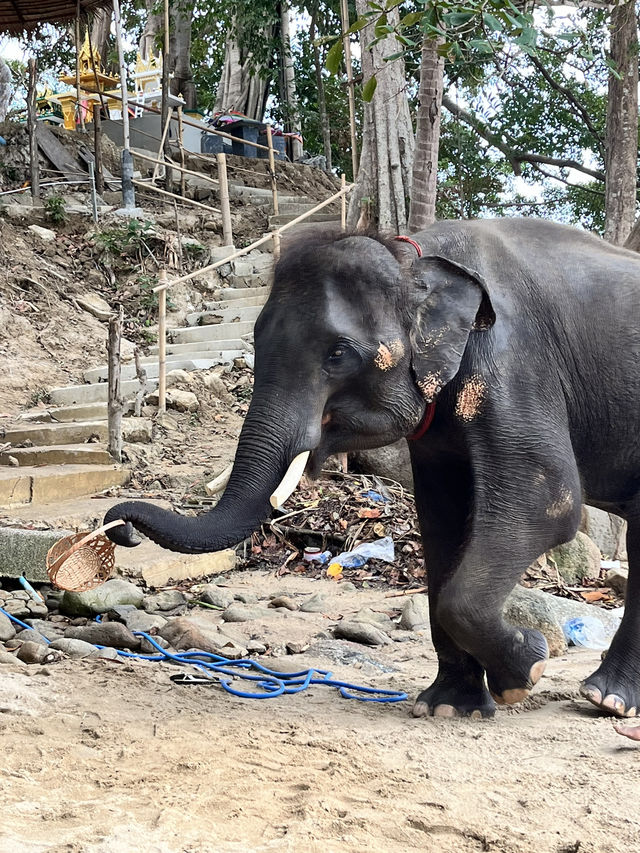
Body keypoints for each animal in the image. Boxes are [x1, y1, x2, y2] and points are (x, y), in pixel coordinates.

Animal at [105, 218, 640, 720]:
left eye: (338, 353)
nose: (118, 526)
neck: (415, 257)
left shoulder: (514, 364)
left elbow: (546, 504)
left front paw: (525, 671)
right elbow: (444, 521)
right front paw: (448, 707)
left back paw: (606, 700)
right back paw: (607, 699)